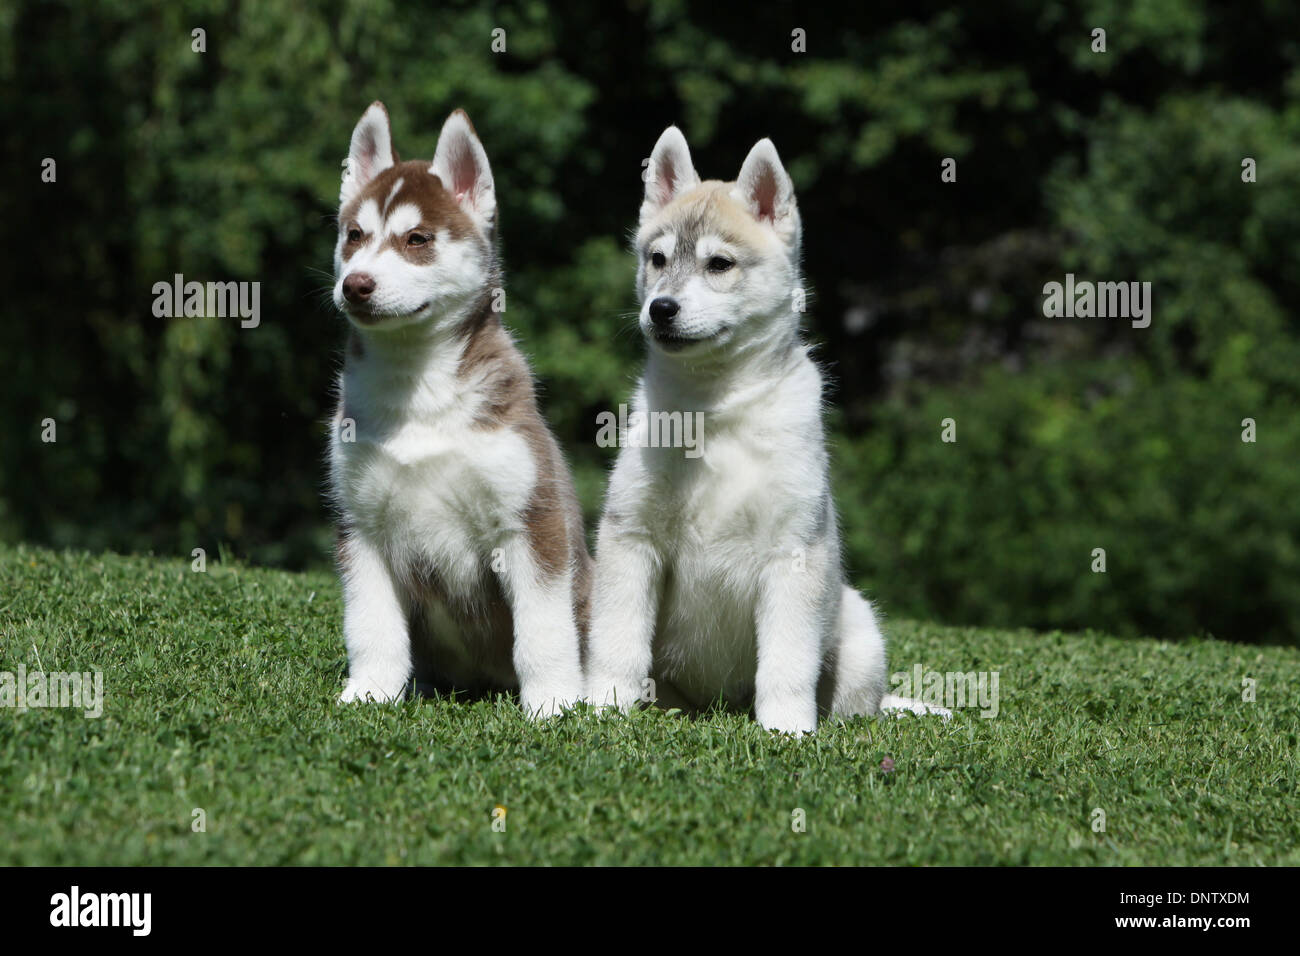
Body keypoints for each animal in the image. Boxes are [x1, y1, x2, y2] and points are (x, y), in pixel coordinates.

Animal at [327, 104, 592, 717]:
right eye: (355, 236)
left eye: (417, 239)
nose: (355, 285)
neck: (418, 388)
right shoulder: (360, 525)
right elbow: (372, 625)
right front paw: (369, 691)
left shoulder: (531, 520)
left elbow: (543, 628)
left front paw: (553, 704)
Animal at [585, 128, 941, 733]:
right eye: (657, 259)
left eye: (719, 264)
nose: (661, 308)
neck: (717, 410)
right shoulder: (631, 535)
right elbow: (616, 640)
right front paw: (599, 708)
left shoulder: (793, 552)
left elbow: (787, 660)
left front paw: (786, 730)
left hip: (860, 632)